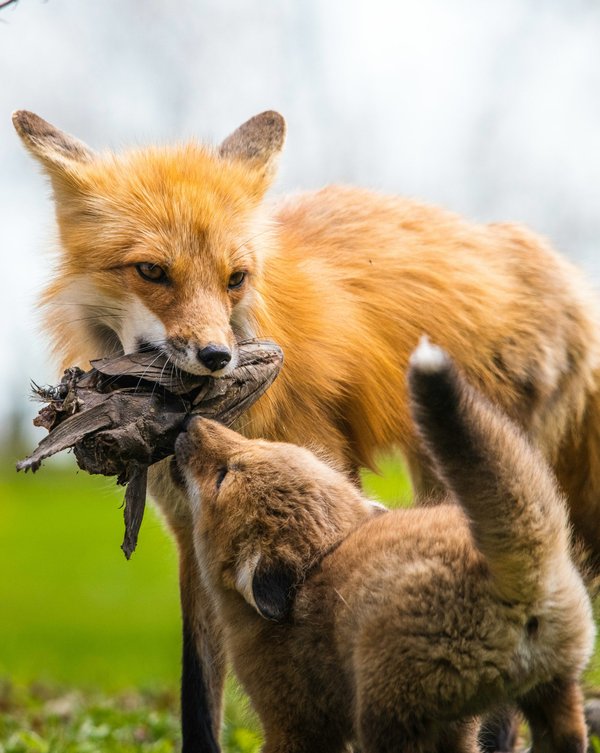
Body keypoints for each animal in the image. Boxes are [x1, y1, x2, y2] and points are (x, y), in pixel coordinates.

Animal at [174, 339, 595, 753]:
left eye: (223, 476)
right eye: (261, 443)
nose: (191, 421)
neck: (317, 566)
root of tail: (516, 569)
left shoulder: (295, 722)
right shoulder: (456, 728)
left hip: (386, 715)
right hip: (549, 691)